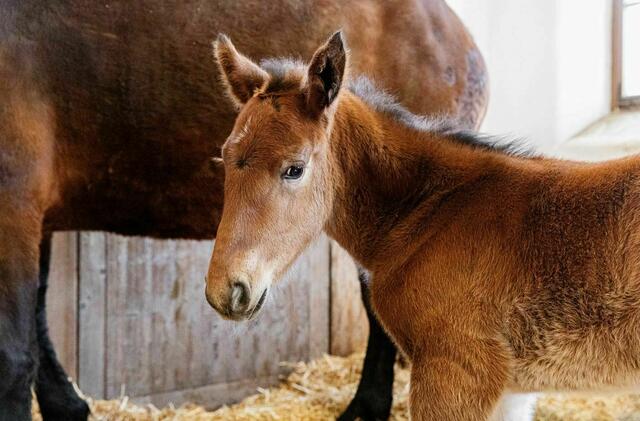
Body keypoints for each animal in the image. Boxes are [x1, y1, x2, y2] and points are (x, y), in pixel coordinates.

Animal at [0, 1, 488, 419]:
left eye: (293, 169)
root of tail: (460, 40)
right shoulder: (35, 218)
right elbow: (36, 322)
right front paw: (67, 407)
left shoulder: (14, 208)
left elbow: (14, 354)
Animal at [207, 31, 640, 420]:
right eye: (224, 159)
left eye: (294, 169)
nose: (226, 291)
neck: (433, 208)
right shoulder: (512, 391)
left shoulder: (452, 372)